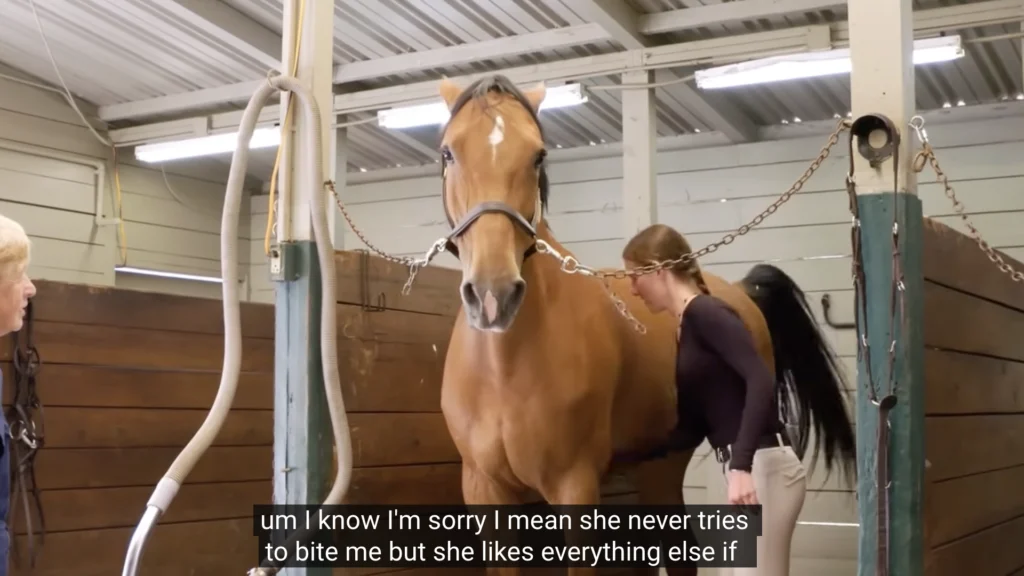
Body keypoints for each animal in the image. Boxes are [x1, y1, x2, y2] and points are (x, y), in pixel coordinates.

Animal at [434, 74, 856, 575]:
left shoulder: (574, 487)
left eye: (538, 155)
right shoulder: (485, 491)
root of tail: (738, 291)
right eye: (447, 153)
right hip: (657, 465)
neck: (504, 368)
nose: (493, 293)